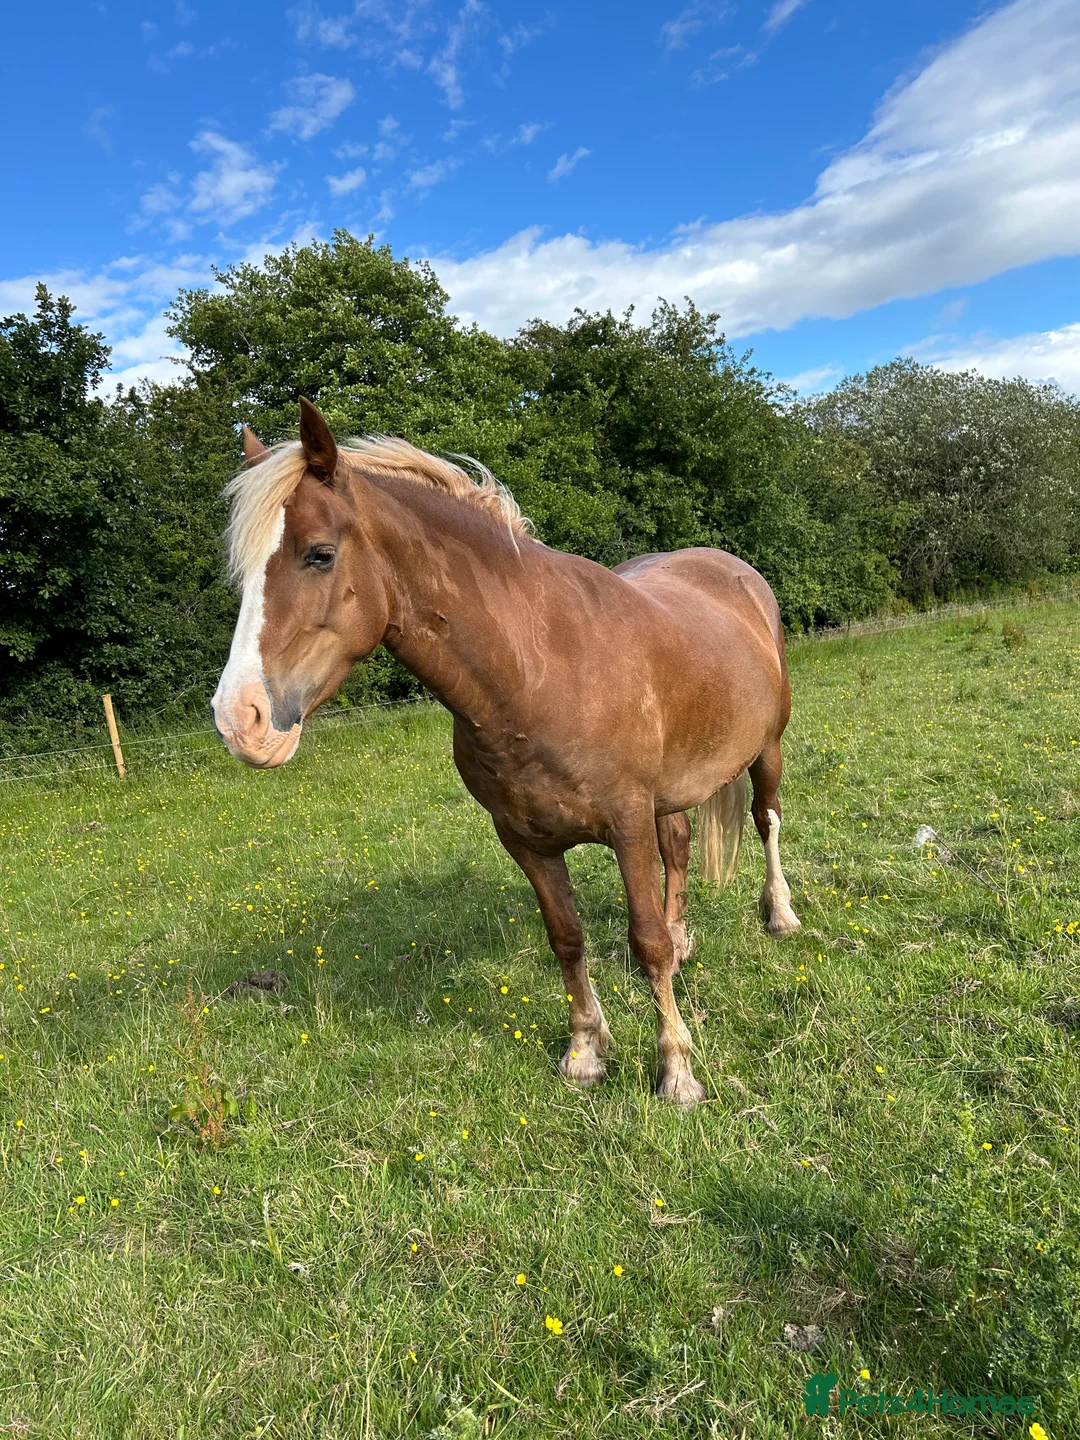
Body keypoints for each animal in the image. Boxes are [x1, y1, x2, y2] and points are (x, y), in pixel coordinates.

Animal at [211, 399, 800, 1106]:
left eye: (319, 555)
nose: (238, 720)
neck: (537, 665)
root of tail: (734, 570)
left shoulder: (627, 823)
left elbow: (645, 940)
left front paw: (676, 1070)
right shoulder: (525, 839)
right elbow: (566, 939)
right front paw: (585, 1052)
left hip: (767, 748)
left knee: (766, 819)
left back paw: (780, 915)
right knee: (681, 847)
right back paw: (687, 939)